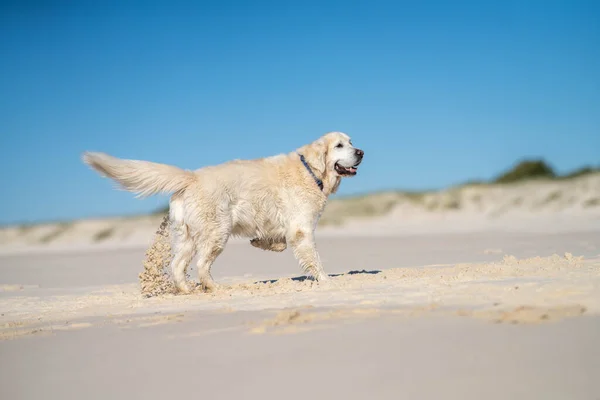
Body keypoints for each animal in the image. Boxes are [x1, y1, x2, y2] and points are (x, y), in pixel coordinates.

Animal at [82, 133, 364, 292]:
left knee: (177, 265)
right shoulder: (301, 228)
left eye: (351, 143)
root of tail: (192, 177)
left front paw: (263, 242)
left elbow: (279, 242)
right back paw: (214, 287)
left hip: (187, 236)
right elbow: (314, 258)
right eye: (339, 146)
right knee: (201, 265)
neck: (311, 171)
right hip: (217, 231)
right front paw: (326, 281)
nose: (361, 152)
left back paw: (187, 290)